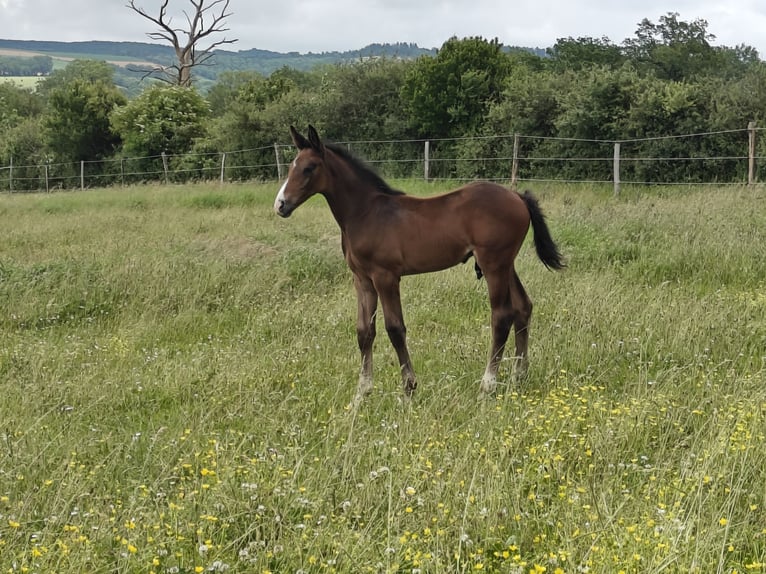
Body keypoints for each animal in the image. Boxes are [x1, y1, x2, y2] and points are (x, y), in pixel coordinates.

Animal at [276, 126, 564, 404]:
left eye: (309, 167)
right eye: (291, 166)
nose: (280, 205)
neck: (365, 213)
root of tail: (517, 196)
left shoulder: (385, 277)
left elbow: (395, 329)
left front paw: (408, 390)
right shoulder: (362, 279)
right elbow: (364, 331)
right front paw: (361, 393)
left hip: (494, 264)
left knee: (502, 316)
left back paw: (487, 386)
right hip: (506, 264)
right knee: (523, 307)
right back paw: (519, 377)